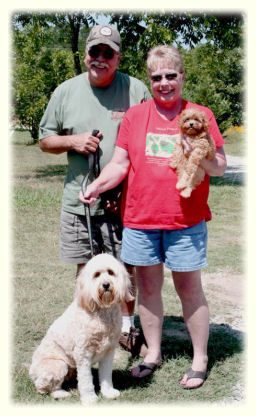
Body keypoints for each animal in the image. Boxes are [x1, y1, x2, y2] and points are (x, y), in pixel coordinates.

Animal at [29, 252, 134, 404]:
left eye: (110, 272)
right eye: (96, 275)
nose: (106, 285)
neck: (102, 312)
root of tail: (31, 372)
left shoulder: (108, 352)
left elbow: (106, 375)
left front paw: (108, 393)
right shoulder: (83, 353)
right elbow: (86, 380)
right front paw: (90, 398)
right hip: (58, 365)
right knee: (44, 388)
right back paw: (61, 394)